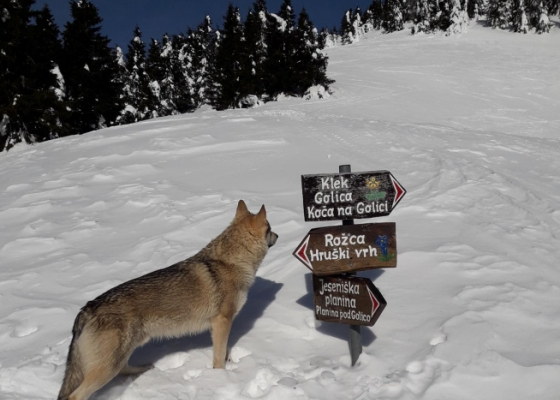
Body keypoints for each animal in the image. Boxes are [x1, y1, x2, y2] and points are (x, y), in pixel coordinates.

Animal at [58, 200, 278, 400]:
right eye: (270, 229)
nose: (278, 236)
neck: (233, 261)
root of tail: (86, 309)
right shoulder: (222, 322)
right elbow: (219, 357)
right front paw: (221, 377)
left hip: (125, 352)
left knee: (124, 370)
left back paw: (144, 369)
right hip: (108, 366)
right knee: (76, 396)